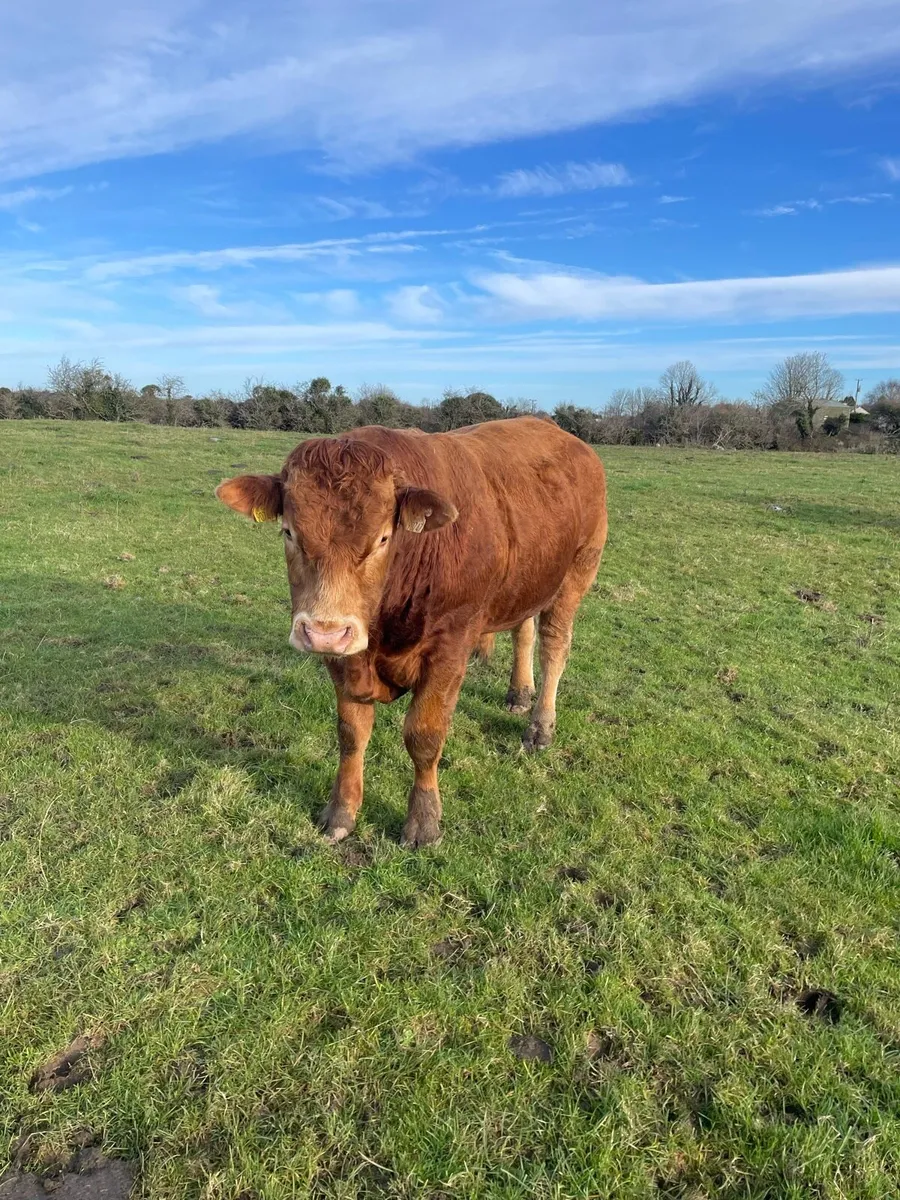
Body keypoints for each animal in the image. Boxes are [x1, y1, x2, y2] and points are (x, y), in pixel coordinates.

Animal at [215, 416, 607, 848]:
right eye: (288, 532)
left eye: (383, 537)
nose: (324, 633)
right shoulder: (346, 659)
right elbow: (351, 734)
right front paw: (340, 812)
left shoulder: (450, 646)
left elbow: (424, 736)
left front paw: (424, 822)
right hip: (527, 580)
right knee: (523, 631)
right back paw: (519, 694)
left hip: (577, 572)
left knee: (554, 647)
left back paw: (540, 727)